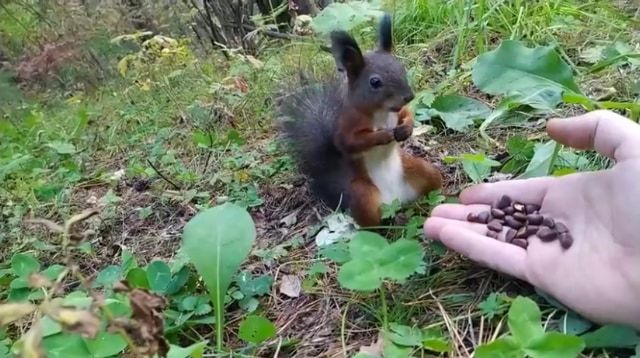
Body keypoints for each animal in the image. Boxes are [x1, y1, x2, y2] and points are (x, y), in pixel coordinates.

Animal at [278, 14, 442, 228]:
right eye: (375, 82)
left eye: (401, 68)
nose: (409, 96)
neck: (382, 112)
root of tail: (396, 200)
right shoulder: (349, 123)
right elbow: (350, 142)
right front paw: (383, 135)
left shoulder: (399, 112)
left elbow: (407, 115)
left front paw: (405, 129)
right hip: (364, 196)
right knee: (373, 222)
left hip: (421, 170)